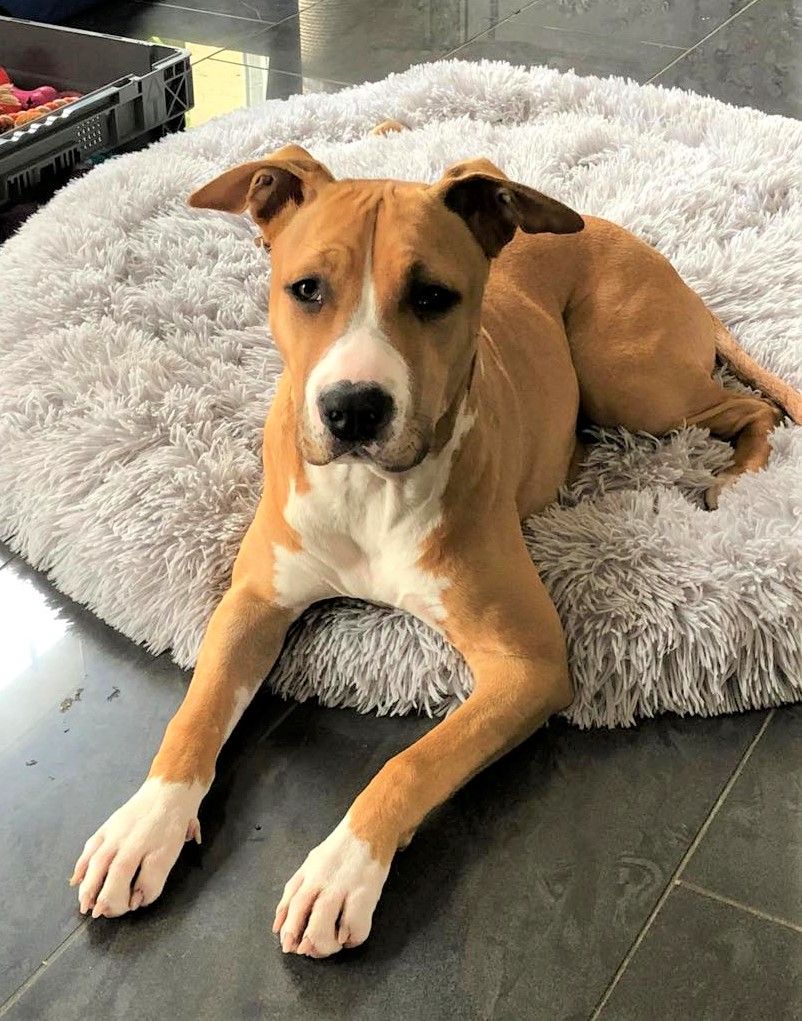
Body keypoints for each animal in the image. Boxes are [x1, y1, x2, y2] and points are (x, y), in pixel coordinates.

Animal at [70, 121, 802, 958]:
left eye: (432, 297)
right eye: (306, 289)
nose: (353, 408)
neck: (370, 491)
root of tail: (628, 237)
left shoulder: (528, 665)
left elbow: (414, 761)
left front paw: (342, 869)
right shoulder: (253, 601)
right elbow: (195, 713)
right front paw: (143, 826)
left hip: (630, 376)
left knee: (751, 411)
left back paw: (735, 479)